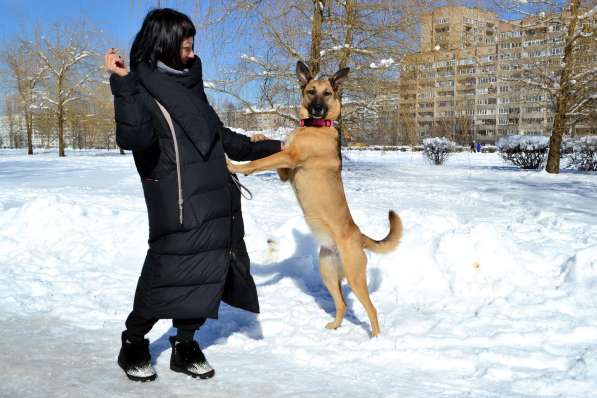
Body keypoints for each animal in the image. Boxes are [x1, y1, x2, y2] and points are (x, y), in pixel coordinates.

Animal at [226, 61, 402, 336]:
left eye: (327, 93)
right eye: (311, 91)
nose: (318, 109)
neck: (315, 126)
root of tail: (359, 235)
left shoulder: (290, 157)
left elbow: (256, 163)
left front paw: (233, 165)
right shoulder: (286, 170)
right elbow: (269, 153)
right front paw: (258, 136)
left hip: (355, 277)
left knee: (372, 310)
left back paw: (375, 338)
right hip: (327, 272)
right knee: (341, 304)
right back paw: (334, 326)